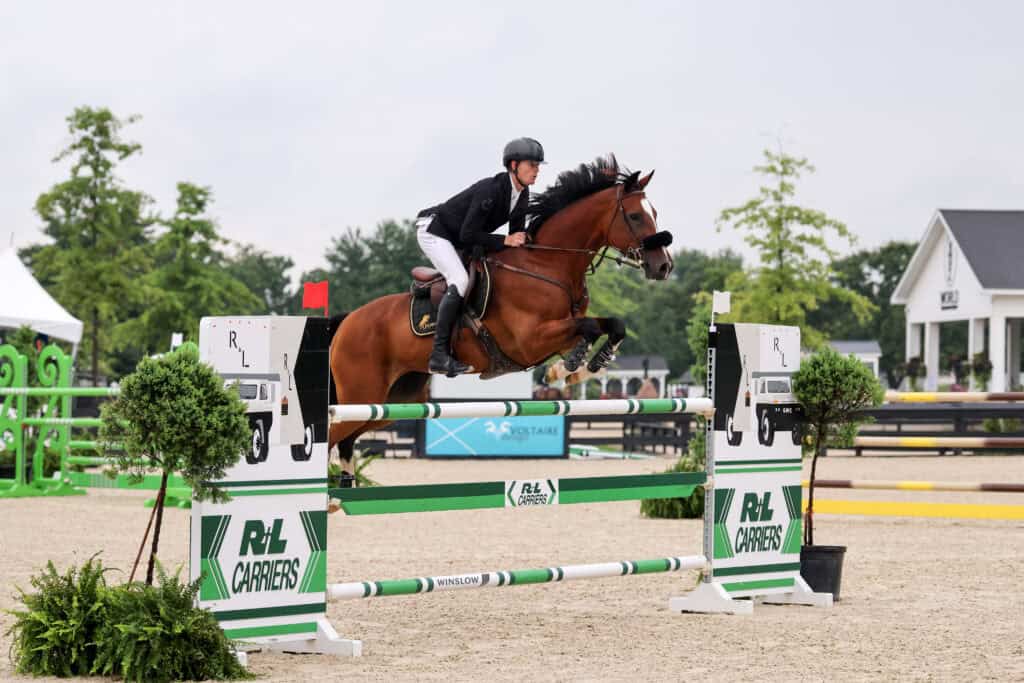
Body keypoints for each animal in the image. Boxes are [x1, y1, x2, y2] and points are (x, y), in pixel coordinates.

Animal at [328, 155, 674, 476]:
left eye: (655, 214)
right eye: (635, 216)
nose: (663, 266)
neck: (548, 265)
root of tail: (347, 322)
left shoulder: (559, 333)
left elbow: (611, 325)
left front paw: (579, 367)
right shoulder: (530, 340)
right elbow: (588, 327)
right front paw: (569, 369)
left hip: (390, 401)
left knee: (347, 440)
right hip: (361, 393)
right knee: (332, 435)